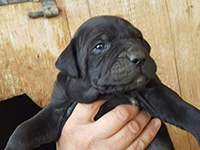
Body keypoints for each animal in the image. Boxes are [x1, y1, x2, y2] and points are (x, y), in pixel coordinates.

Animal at [5, 15, 200, 150]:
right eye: (99, 46)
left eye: (138, 38)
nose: (139, 57)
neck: (110, 93)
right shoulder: (57, 110)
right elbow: (25, 128)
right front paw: (13, 145)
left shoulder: (154, 92)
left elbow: (184, 110)